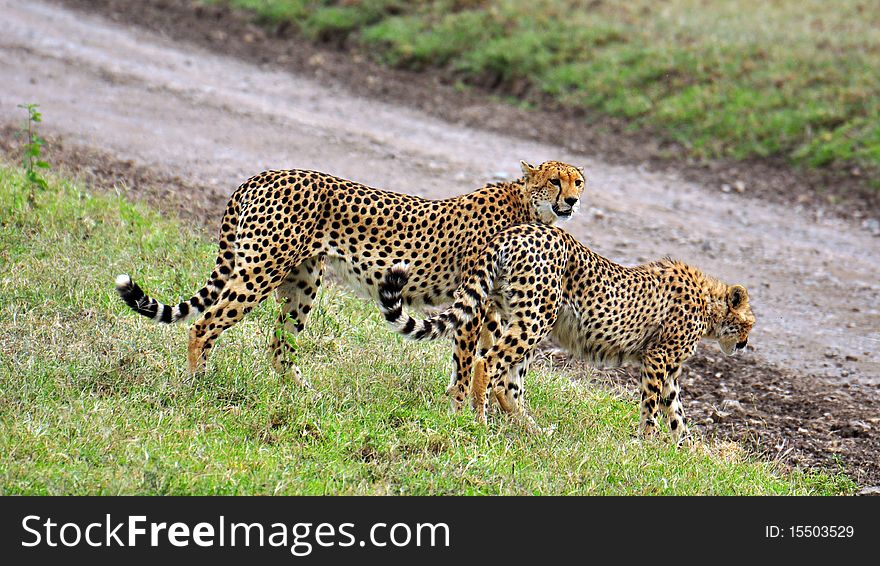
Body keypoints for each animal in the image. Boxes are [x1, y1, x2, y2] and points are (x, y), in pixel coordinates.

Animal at [378, 223, 756, 444]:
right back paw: (480, 421)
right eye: (748, 325)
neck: (709, 304)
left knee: (505, 378)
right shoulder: (658, 357)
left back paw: (530, 429)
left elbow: (676, 411)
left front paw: (686, 451)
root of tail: (517, 231)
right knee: (488, 363)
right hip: (536, 317)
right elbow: (652, 405)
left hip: (514, 314)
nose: (745, 344)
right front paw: (647, 444)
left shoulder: (671, 368)